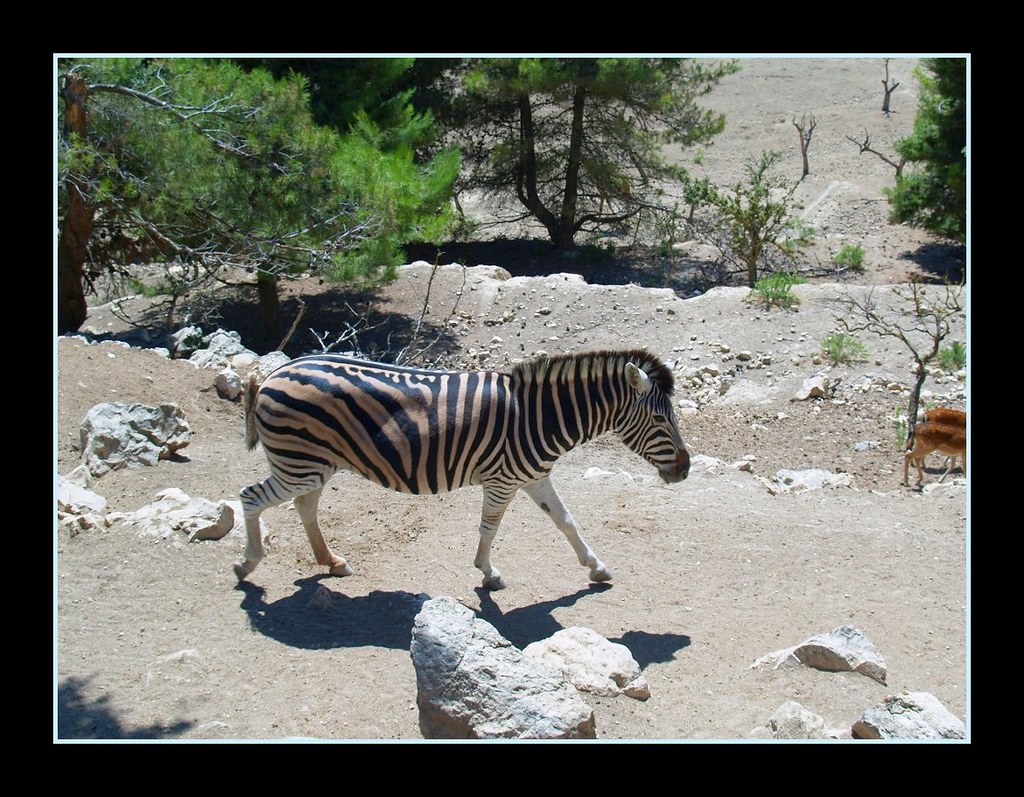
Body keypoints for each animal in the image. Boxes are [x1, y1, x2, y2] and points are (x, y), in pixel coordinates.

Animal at [235, 348, 690, 589]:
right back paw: (248, 564)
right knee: (250, 497)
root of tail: (275, 371)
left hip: (314, 463)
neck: (538, 417)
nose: (684, 472)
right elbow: (489, 527)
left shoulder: (535, 477)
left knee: (304, 507)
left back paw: (331, 561)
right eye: (661, 419)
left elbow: (566, 521)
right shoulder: (503, 480)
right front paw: (488, 573)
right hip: (300, 462)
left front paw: (595, 566)